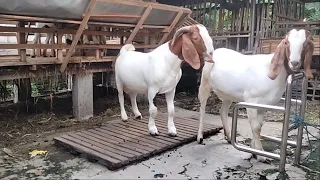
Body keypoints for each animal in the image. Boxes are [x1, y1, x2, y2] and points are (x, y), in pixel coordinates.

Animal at [196, 28, 314, 162]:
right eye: (286, 43)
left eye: (305, 44)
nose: (294, 62)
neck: (269, 71)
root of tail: (216, 51)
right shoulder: (251, 100)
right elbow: (256, 127)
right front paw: (261, 155)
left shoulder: (263, 105)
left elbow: (259, 126)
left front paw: (254, 151)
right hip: (205, 83)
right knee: (202, 109)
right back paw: (200, 137)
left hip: (228, 94)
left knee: (223, 111)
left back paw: (229, 137)